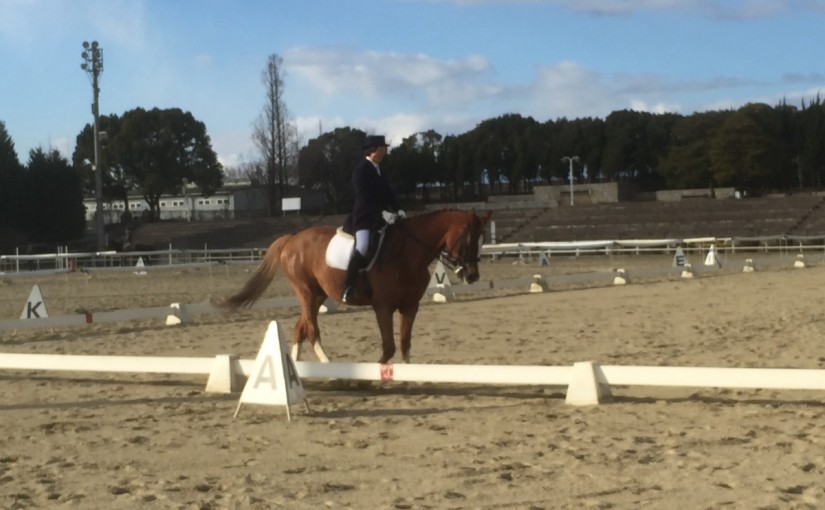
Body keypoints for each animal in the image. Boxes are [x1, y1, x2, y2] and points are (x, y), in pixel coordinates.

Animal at [214, 209, 491, 364]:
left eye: (482, 239)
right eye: (469, 239)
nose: (472, 276)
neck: (407, 252)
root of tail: (292, 238)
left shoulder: (410, 307)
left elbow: (404, 346)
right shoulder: (383, 307)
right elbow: (389, 348)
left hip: (318, 295)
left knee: (300, 328)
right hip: (306, 291)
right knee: (311, 330)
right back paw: (330, 367)